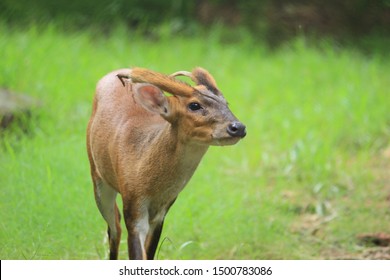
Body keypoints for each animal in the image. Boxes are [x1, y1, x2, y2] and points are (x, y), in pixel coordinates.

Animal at [86, 66, 245, 260]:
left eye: (226, 103)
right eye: (194, 105)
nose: (238, 127)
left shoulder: (163, 211)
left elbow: (149, 254)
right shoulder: (133, 205)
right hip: (97, 176)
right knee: (114, 227)